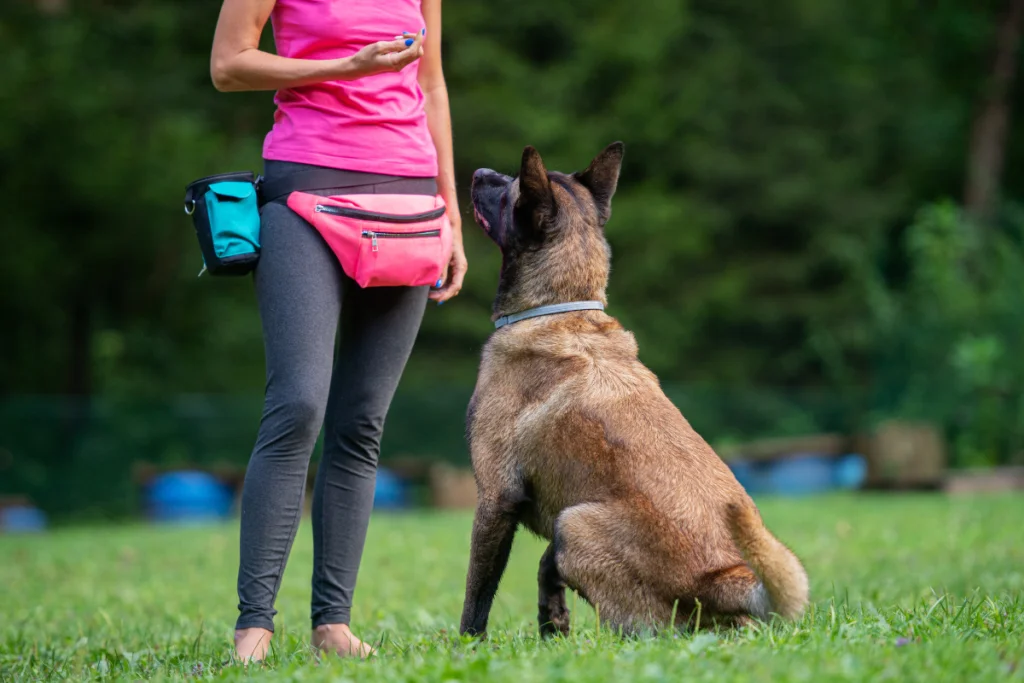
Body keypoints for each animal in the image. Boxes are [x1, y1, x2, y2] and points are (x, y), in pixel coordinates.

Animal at [462, 141, 806, 638]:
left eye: (509, 191)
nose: (478, 171)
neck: (560, 308)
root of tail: (724, 578)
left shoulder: (495, 499)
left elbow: (477, 595)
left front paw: (466, 647)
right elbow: (545, 572)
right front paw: (553, 625)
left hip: (575, 522)